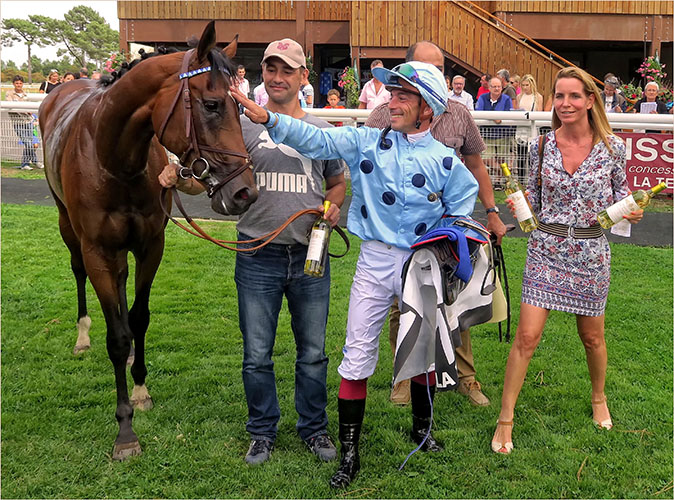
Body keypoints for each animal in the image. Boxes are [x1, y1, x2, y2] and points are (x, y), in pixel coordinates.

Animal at [38, 22, 258, 460]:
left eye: (240, 106)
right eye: (212, 105)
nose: (244, 192)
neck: (113, 157)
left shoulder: (150, 243)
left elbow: (138, 319)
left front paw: (139, 389)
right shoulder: (98, 249)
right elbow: (116, 336)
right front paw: (125, 430)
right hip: (67, 225)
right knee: (78, 272)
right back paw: (83, 335)